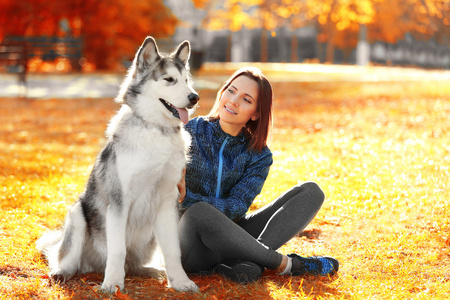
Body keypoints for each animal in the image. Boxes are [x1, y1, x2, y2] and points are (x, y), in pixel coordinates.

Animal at [37, 37, 200, 292]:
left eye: (186, 81)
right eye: (169, 80)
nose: (195, 97)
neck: (156, 130)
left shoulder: (168, 202)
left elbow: (174, 251)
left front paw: (180, 282)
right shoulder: (118, 202)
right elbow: (117, 250)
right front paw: (112, 284)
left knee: (133, 264)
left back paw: (151, 270)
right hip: (77, 215)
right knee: (68, 259)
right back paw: (62, 272)